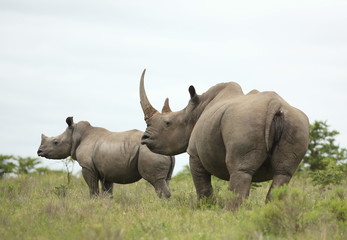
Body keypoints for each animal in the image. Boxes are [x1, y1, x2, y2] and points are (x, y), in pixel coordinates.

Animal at [37, 117, 177, 198]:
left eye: (55, 142)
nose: (39, 151)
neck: (75, 135)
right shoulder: (107, 170)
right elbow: (107, 192)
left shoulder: (87, 167)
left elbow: (92, 188)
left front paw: (93, 203)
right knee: (165, 180)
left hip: (149, 152)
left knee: (156, 181)